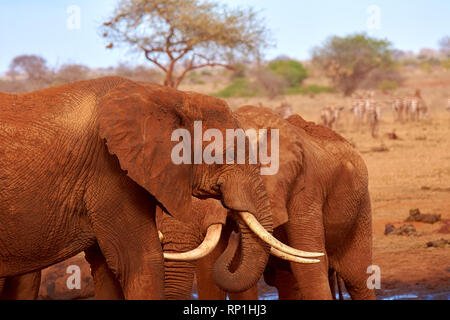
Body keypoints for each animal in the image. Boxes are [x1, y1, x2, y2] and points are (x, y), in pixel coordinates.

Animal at [156, 105, 374, 300]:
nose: (236, 238)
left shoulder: (304, 189)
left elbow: (310, 267)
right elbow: (212, 271)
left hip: (361, 209)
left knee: (359, 280)